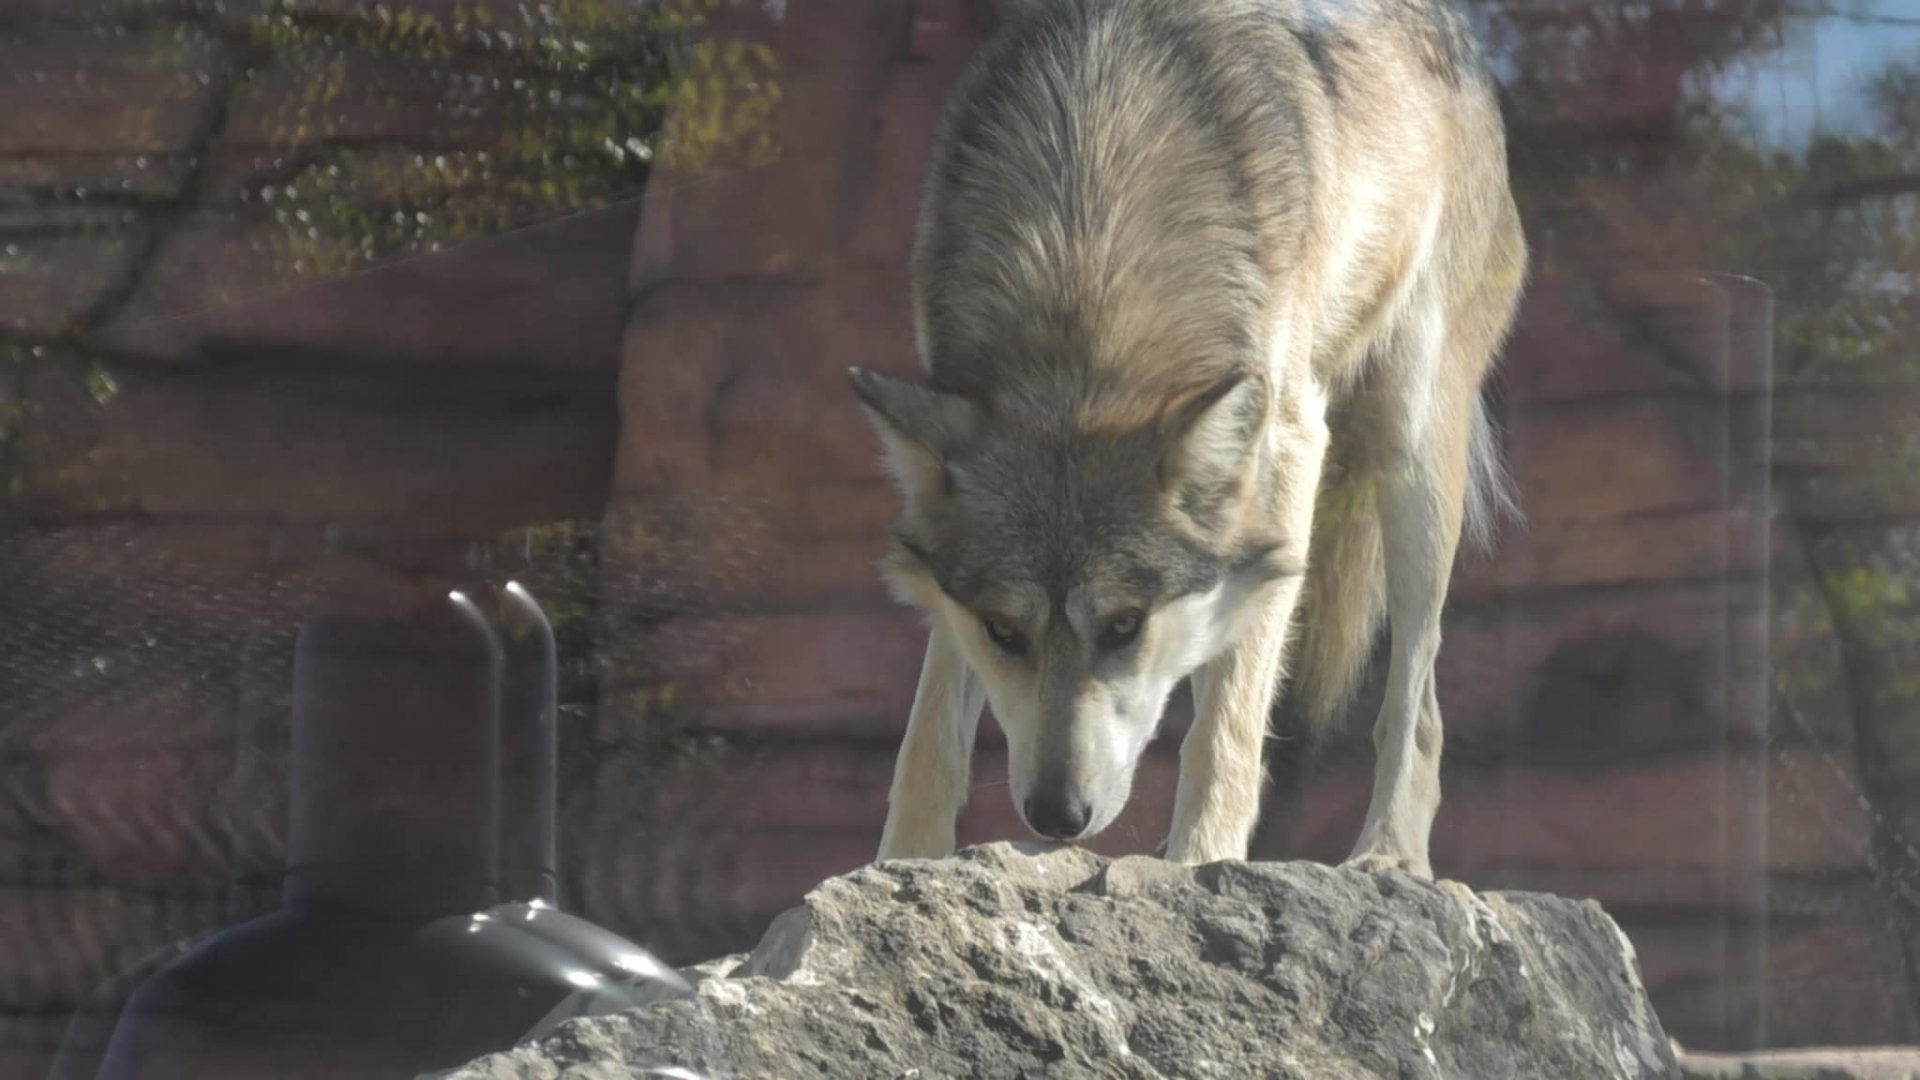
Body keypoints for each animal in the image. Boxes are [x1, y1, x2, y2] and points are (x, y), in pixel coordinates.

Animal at [848, 0, 1526, 877]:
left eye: (1124, 626)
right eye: (1003, 632)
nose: (1056, 815)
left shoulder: (1288, 444)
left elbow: (1226, 725)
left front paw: (1205, 864)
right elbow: (928, 734)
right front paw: (900, 870)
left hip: (1409, 447)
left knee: (1416, 699)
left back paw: (1386, 854)